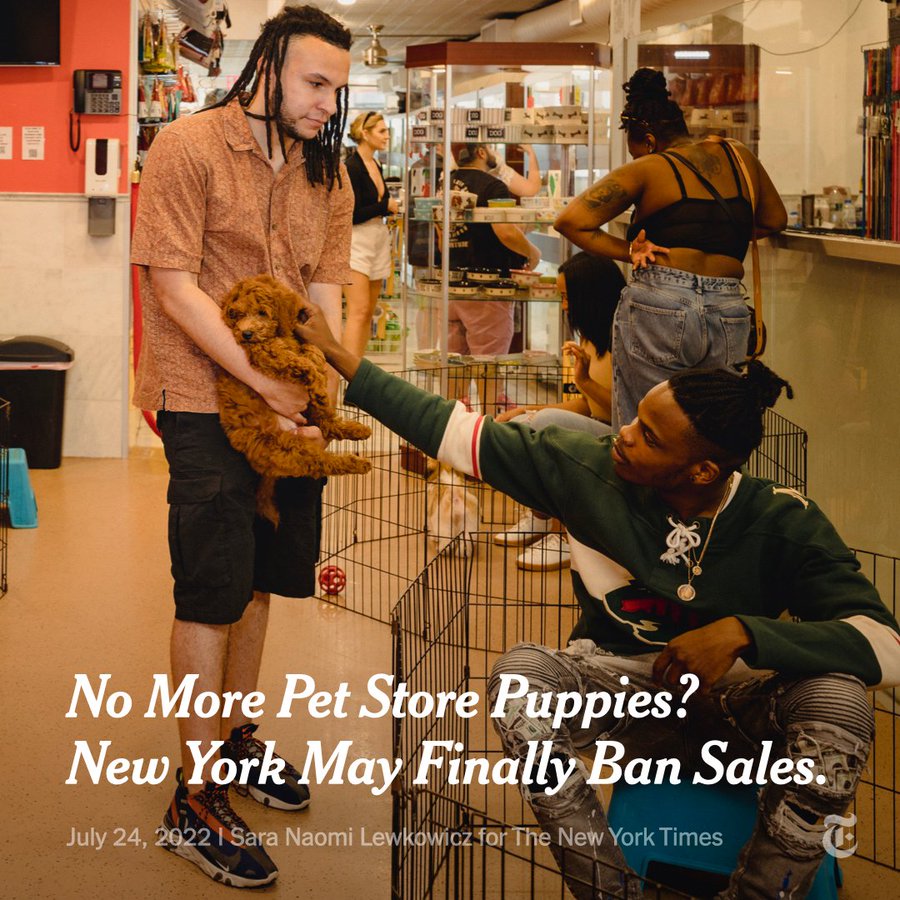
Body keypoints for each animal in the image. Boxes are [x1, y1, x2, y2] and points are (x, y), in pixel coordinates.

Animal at [216, 278, 370, 524]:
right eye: (236, 314)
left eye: (262, 312)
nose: (245, 333)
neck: (277, 335)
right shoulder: (265, 353)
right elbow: (296, 361)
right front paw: (315, 376)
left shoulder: (299, 339)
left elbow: (311, 348)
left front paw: (317, 365)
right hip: (290, 449)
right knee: (323, 461)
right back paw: (357, 462)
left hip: (310, 416)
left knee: (328, 423)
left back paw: (356, 429)